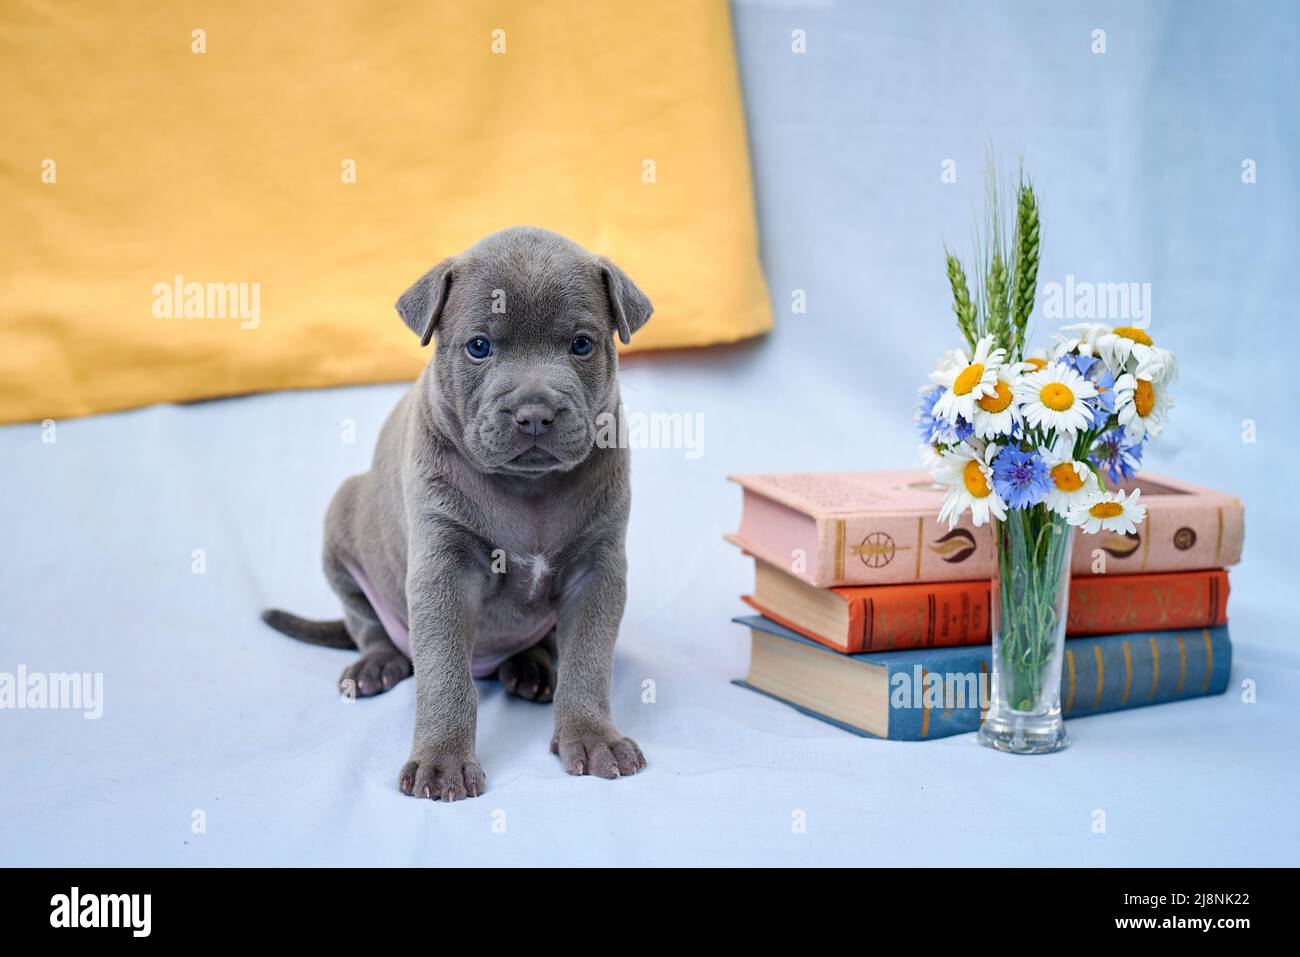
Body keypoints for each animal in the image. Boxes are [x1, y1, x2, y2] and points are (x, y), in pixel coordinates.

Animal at [262, 226, 650, 800]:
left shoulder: (597, 570)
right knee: (367, 621)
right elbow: (444, 673)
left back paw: (532, 668)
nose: (535, 413)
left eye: (581, 343)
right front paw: (441, 763)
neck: (528, 490)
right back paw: (376, 665)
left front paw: (593, 737)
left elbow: (588, 660)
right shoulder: (442, 566)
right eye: (479, 346)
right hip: (343, 520)